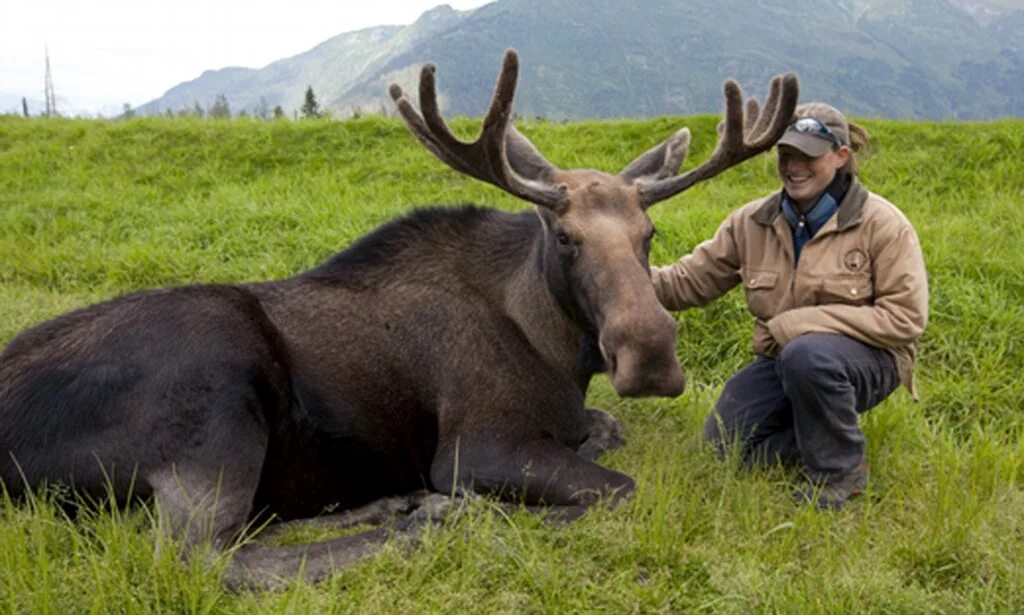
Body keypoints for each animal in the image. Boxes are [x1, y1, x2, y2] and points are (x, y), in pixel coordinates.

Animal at [0, 50, 798, 589]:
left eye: (648, 234)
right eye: (565, 236)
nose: (651, 357)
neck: (553, 349)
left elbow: (608, 433)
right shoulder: (479, 446)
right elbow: (617, 487)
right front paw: (502, 510)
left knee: (257, 525)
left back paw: (395, 504)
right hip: (216, 383)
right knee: (207, 557)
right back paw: (429, 518)